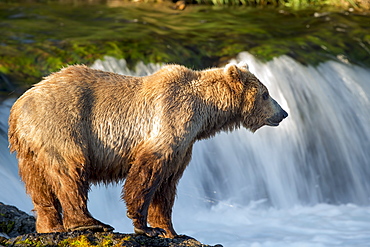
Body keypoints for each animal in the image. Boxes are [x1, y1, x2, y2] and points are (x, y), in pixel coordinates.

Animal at [7, 62, 286, 238]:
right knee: (70, 171)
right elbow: (147, 174)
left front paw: (171, 230)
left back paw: (50, 226)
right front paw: (145, 226)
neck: (205, 112)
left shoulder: (184, 147)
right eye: (265, 93)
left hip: (31, 144)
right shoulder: (170, 119)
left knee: (38, 182)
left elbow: (167, 186)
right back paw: (89, 223)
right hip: (63, 124)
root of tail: (18, 106)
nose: (283, 112)